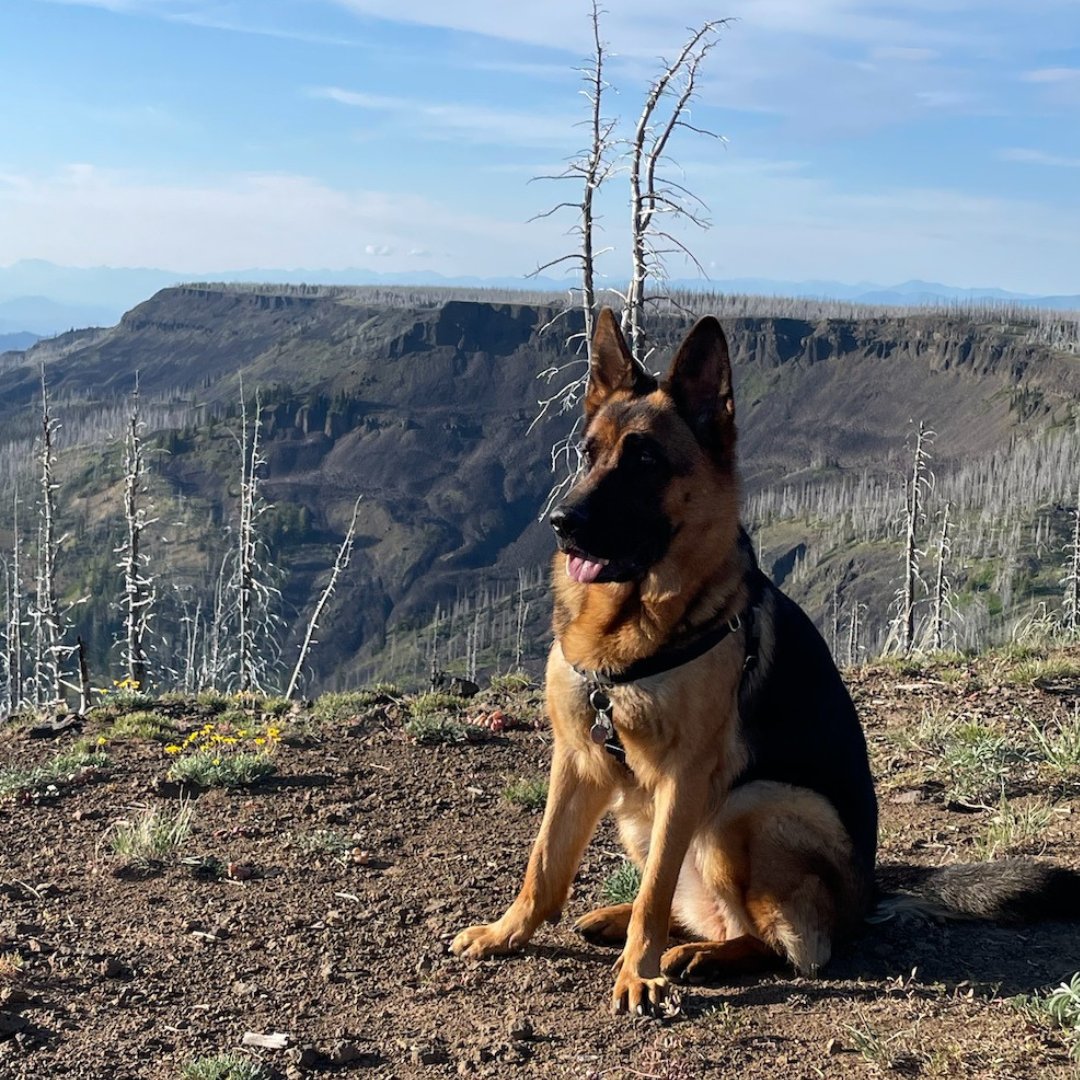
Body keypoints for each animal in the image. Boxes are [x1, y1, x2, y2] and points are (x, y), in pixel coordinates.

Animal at [451, 311, 1075, 1010]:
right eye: (589, 454)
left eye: (645, 460)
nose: (562, 522)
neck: (634, 621)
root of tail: (865, 899)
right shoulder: (579, 758)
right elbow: (544, 863)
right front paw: (507, 932)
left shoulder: (684, 776)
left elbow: (654, 892)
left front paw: (638, 973)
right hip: (640, 814)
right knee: (696, 909)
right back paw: (635, 924)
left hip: (748, 806)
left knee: (787, 946)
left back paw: (702, 956)